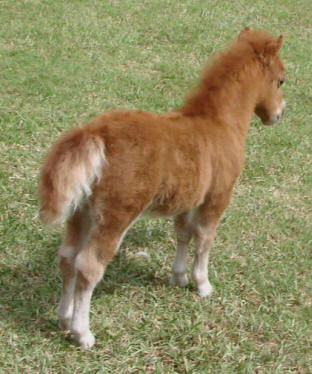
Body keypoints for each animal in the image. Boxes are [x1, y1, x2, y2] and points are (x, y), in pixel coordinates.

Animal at [38, 28, 286, 348]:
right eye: (281, 79)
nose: (279, 114)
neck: (219, 122)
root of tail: (94, 133)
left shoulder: (188, 198)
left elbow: (182, 234)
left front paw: (178, 278)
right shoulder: (217, 197)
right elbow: (204, 239)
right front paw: (203, 284)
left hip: (80, 212)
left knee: (67, 257)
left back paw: (63, 318)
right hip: (116, 216)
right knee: (88, 266)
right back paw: (83, 333)